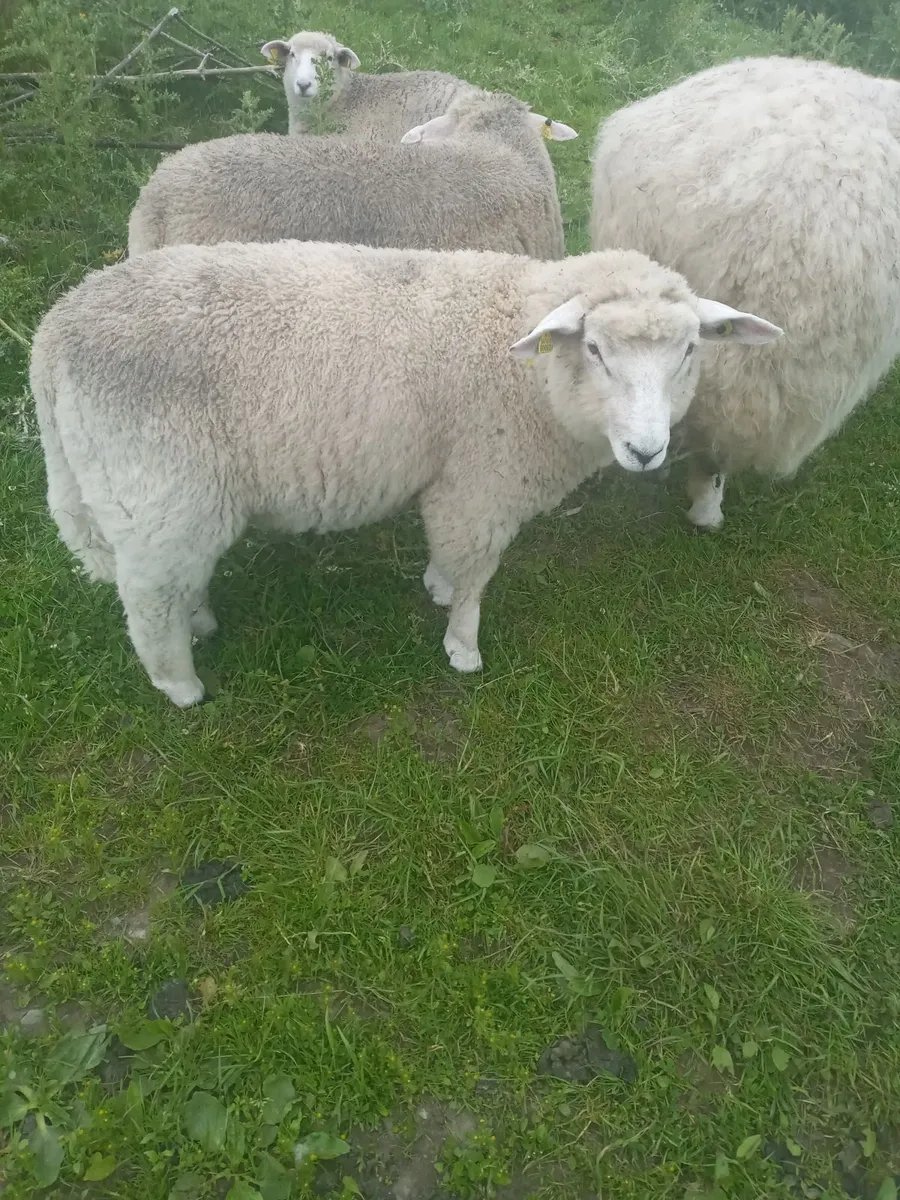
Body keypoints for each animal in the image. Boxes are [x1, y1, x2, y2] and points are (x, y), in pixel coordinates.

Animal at [30, 240, 780, 707]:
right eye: (594, 349)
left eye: (690, 350)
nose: (647, 451)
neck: (522, 365)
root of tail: (52, 334)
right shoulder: (481, 481)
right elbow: (475, 575)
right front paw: (462, 646)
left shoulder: (456, 483)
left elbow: (448, 556)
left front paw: (436, 588)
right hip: (160, 489)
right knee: (149, 598)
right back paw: (181, 685)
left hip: (147, 499)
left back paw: (200, 621)